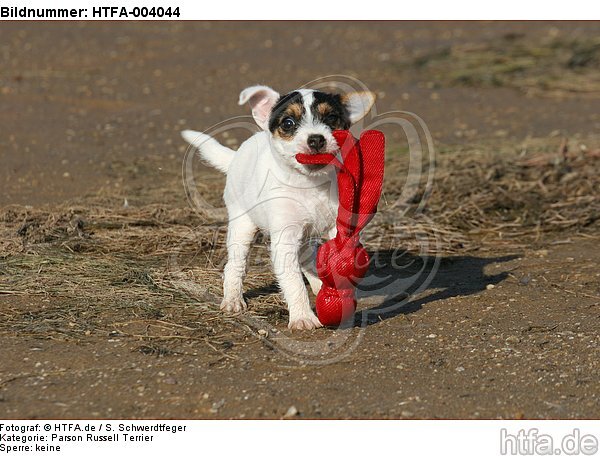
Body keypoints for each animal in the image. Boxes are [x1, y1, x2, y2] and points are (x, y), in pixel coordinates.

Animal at [182, 84, 376, 328]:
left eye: (331, 118)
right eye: (288, 123)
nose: (316, 139)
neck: (308, 184)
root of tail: (236, 157)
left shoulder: (335, 228)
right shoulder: (284, 237)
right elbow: (293, 281)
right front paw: (303, 317)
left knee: (305, 257)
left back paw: (318, 284)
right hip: (242, 226)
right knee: (234, 264)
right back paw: (233, 299)